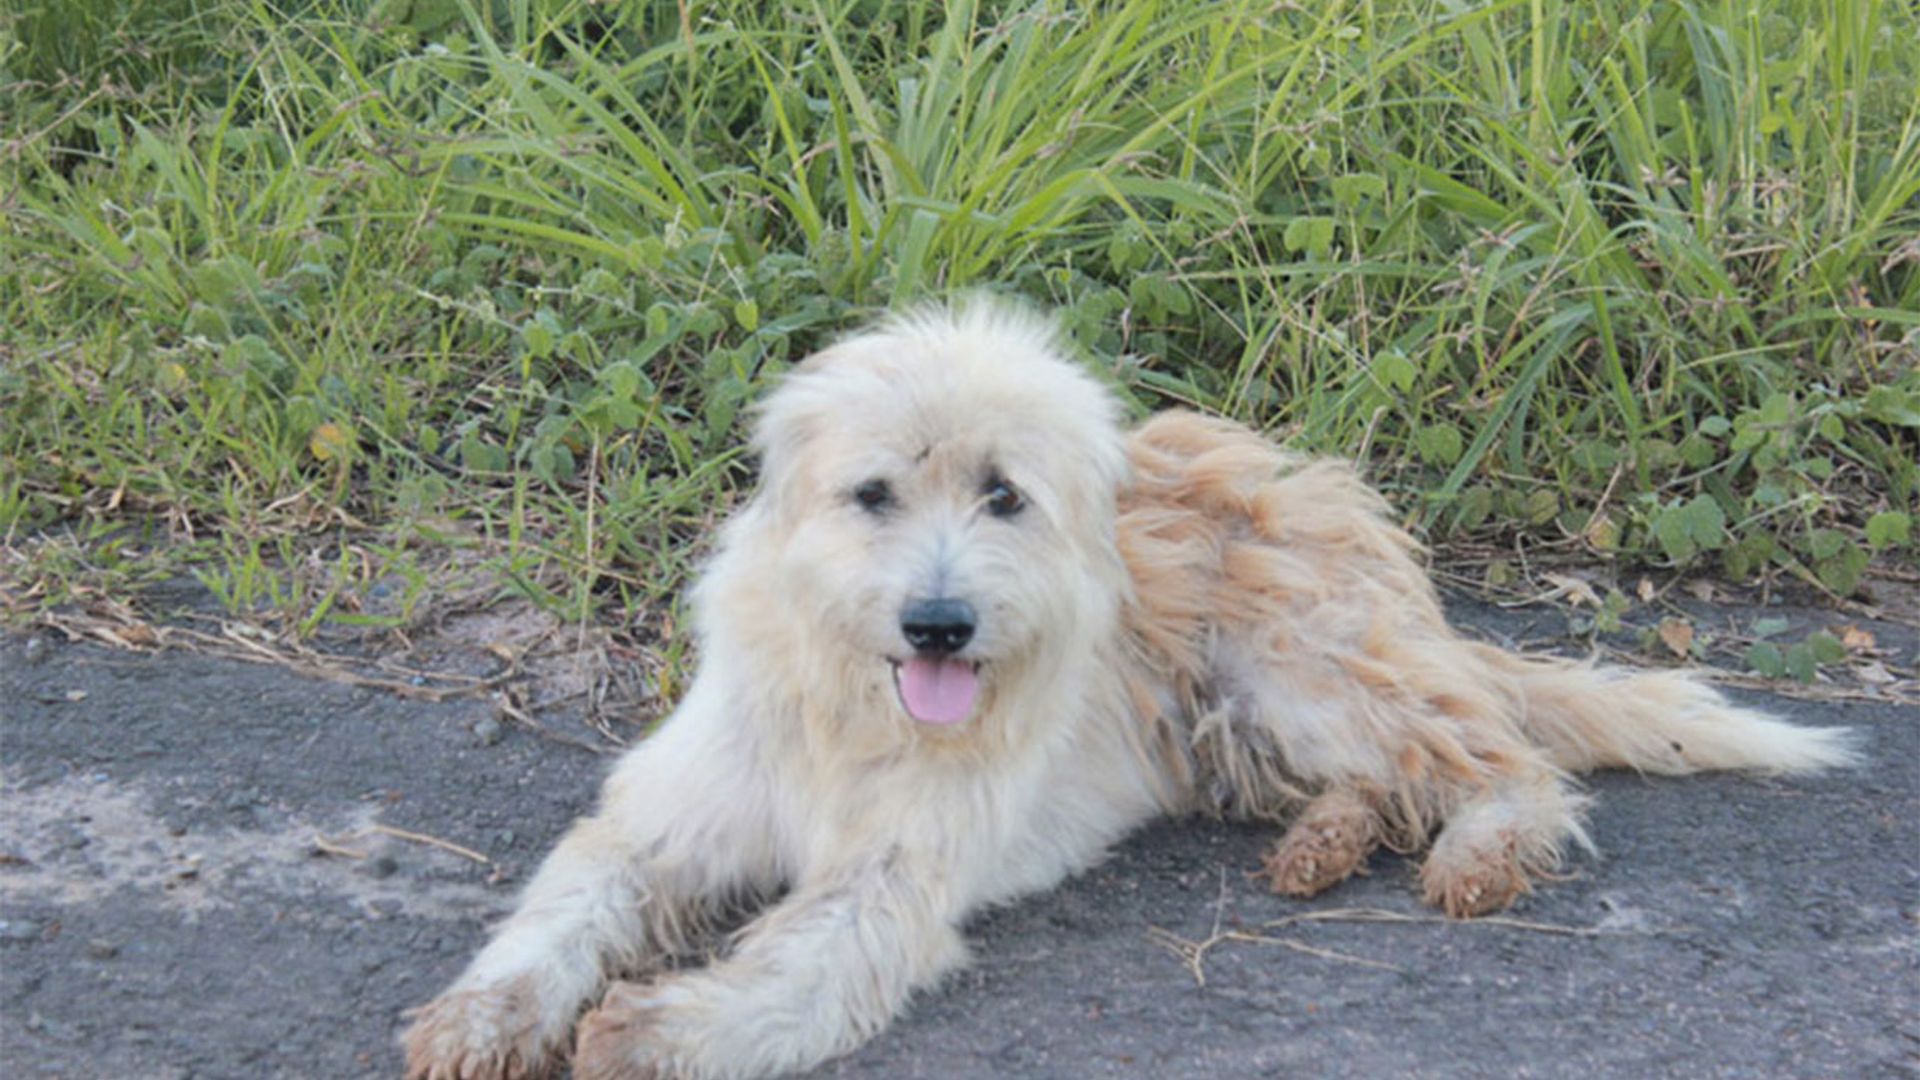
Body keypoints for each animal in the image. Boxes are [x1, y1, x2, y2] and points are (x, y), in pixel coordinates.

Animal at [408, 303, 1858, 1076]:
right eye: (874, 494)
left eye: (1003, 497)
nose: (940, 623)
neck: (853, 707)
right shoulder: (667, 820)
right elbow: (565, 905)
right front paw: (487, 1014)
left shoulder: (891, 881)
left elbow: (790, 972)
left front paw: (657, 1028)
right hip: (1248, 722)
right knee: (1390, 778)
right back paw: (1324, 844)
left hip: (1302, 671)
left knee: (1502, 764)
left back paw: (1473, 852)